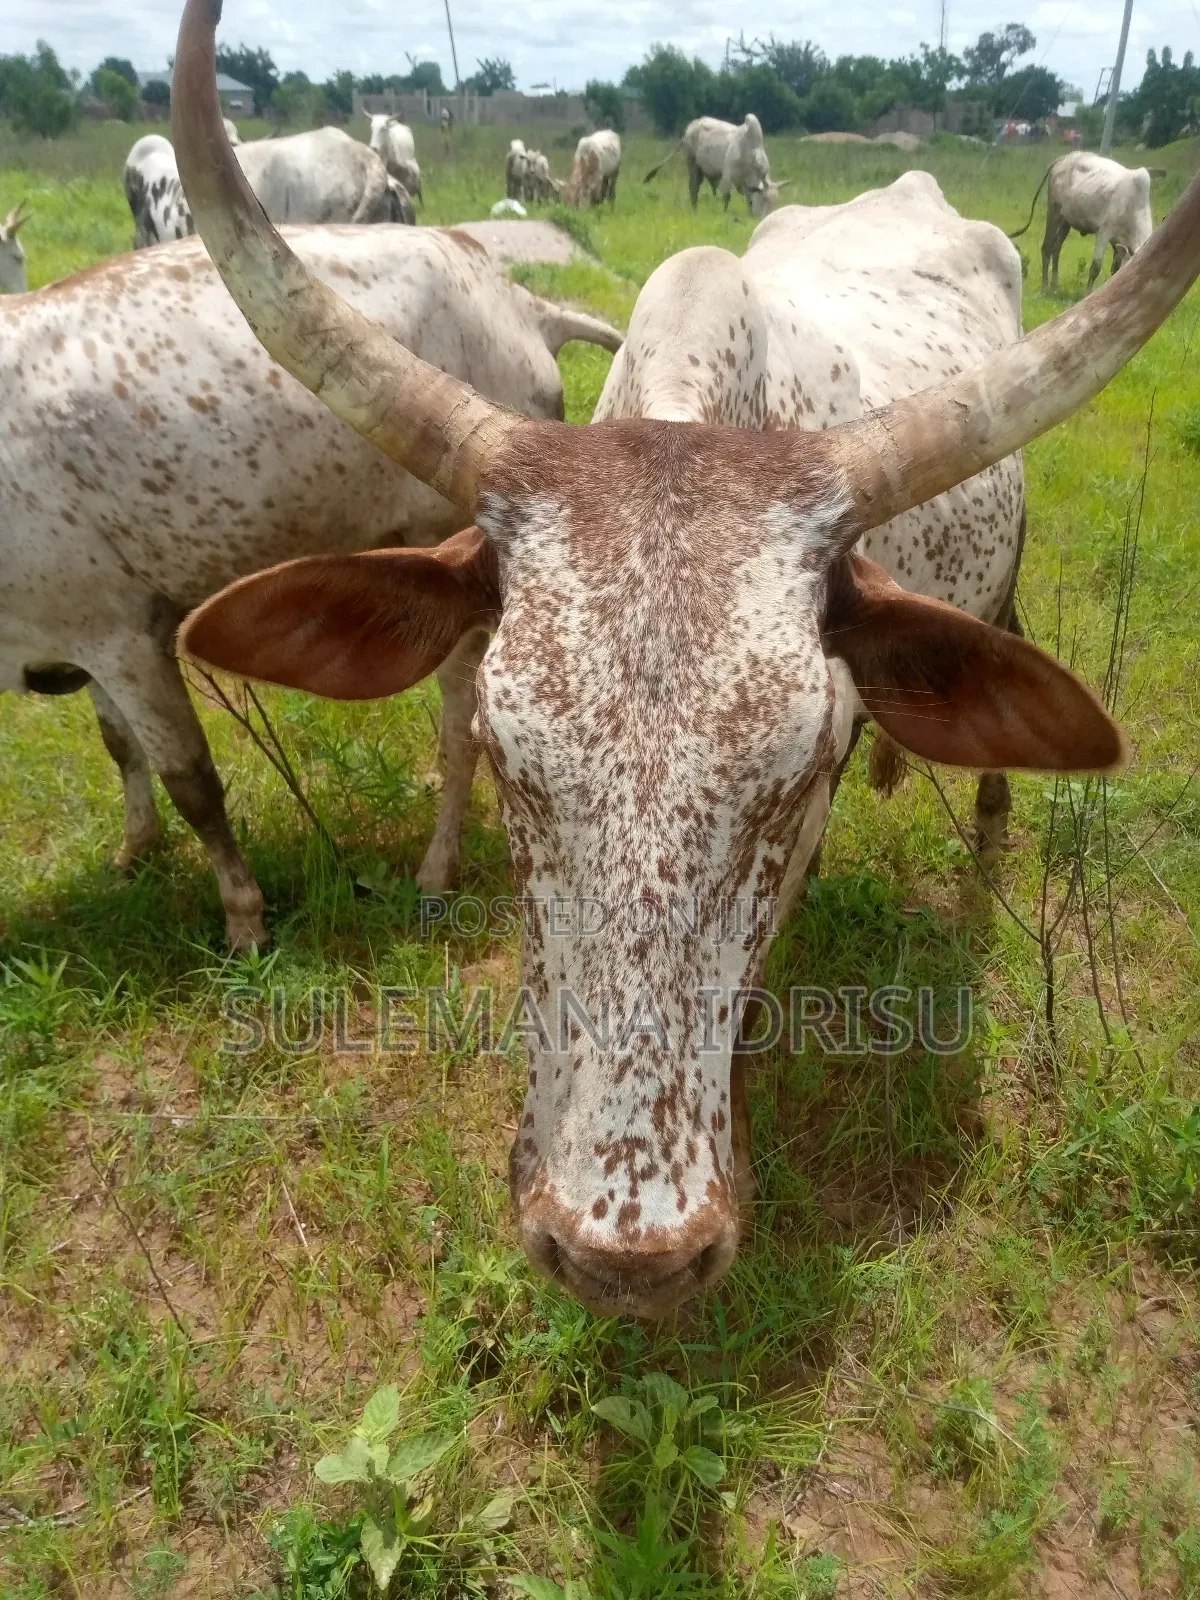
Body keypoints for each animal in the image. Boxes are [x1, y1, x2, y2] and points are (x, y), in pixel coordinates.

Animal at [0, 224, 623, 950]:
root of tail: (521, 302)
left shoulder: (123, 636)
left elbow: (193, 785)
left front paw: (244, 919)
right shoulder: (83, 631)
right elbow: (119, 746)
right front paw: (137, 850)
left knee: (462, 729)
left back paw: (437, 868)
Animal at [645, 114, 786, 218]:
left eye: (777, 200)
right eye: (765, 199)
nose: (770, 217)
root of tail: (692, 125)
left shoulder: (746, 184)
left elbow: (749, 199)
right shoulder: (727, 175)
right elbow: (726, 197)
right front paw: (725, 215)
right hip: (693, 165)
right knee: (693, 189)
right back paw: (695, 211)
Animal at [1010, 151, 1155, 294]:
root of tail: (1065, 157)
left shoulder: (1118, 241)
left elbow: (1115, 267)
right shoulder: (1104, 231)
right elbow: (1096, 267)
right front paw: (1088, 293)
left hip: (1065, 220)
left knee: (1057, 248)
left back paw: (1055, 286)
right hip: (1054, 211)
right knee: (1047, 247)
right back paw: (1045, 288)